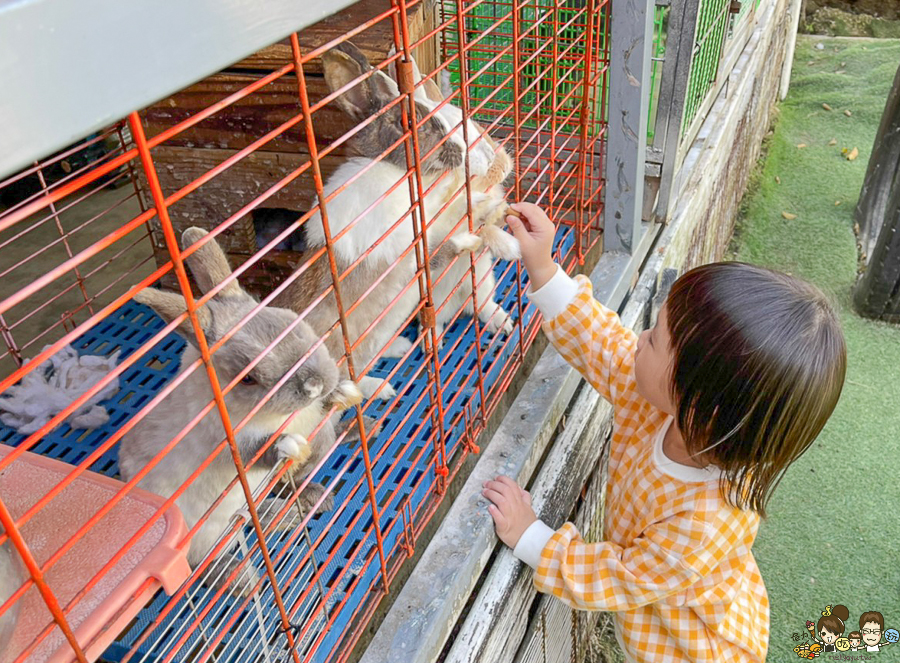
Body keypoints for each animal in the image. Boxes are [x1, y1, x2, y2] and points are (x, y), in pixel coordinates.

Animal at [119, 228, 362, 596]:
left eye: (291, 322)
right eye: (248, 378)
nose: (314, 383)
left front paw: (344, 391)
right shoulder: (228, 445)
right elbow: (257, 451)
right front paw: (289, 445)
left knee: (254, 517)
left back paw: (289, 513)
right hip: (203, 534)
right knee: (203, 563)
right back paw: (243, 581)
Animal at [270, 42, 516, 400]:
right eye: (410, 122)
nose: (497, 162)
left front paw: (497, 223)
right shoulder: (403, 248)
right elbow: (439, 241)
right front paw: (479, 221)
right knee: (341, 390)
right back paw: (383, 387)